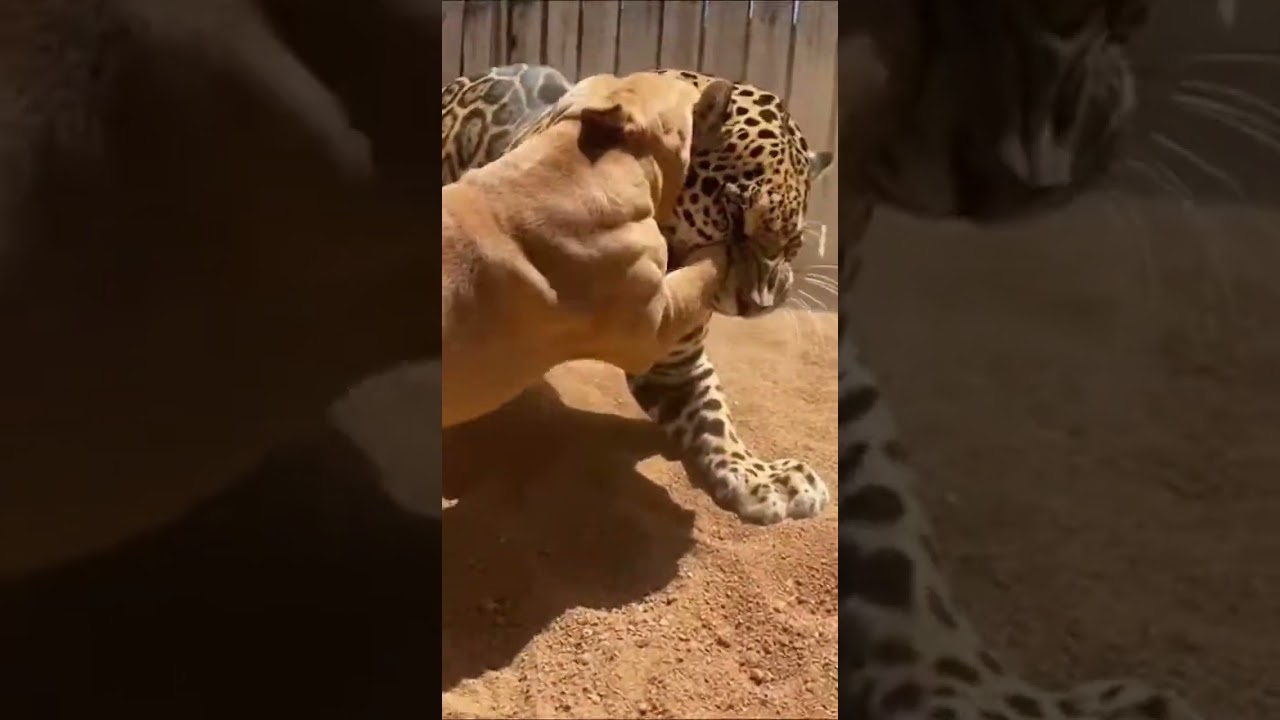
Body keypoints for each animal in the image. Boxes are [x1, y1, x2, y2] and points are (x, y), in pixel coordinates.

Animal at [442, 64, 835, 525]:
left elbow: (714, 417)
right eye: (735, 212)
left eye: (794, 242)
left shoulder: (675, 363)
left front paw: (759, 475)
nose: (758, 304)